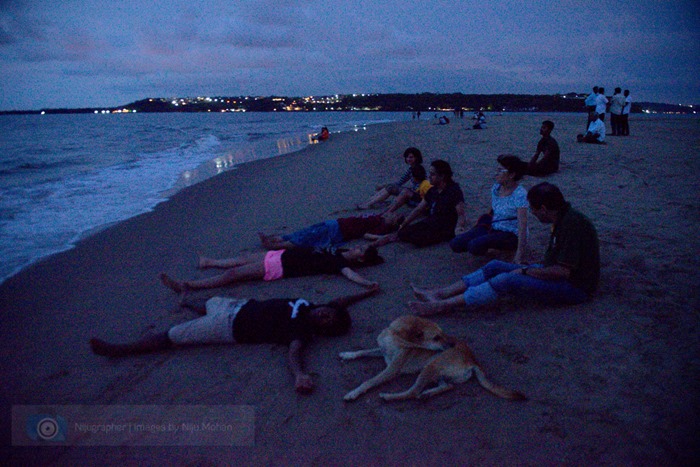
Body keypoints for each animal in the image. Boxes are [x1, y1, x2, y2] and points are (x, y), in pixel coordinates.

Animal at [342, 318, 528, 402]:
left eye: (442, 333)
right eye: (436, 337)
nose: (452, 343)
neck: (393, 338)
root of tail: (473, 360)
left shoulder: (392, 369)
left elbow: (368, 382)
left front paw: (353, 393)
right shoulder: (382, 352)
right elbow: (363, 351)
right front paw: (348, 354)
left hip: (430, 366)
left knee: (413, 392)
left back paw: (389, 396)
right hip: (437, 373)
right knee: (447, 386)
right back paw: (429, 393)